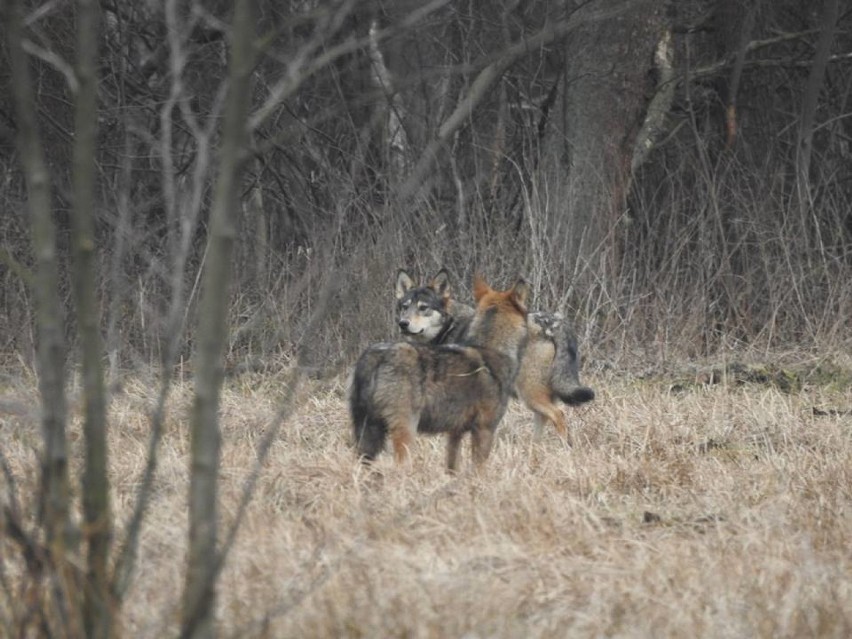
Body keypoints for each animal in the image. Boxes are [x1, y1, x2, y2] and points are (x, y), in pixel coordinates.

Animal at [350, 278, 528, 472]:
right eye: (405, 307)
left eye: (423, 307)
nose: (403, 323)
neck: (492, 349)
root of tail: (376, 355)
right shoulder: (484, 429)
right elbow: (479, 469)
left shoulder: (455, 432)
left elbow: (452, 465)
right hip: (405, 432)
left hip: (367, 436)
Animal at [394, 268, 588, 440]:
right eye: (405, 307)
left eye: (423, 308)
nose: (403, 323)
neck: (449, 326)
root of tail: (553, 322)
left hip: (530, 395)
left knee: (558, 414)